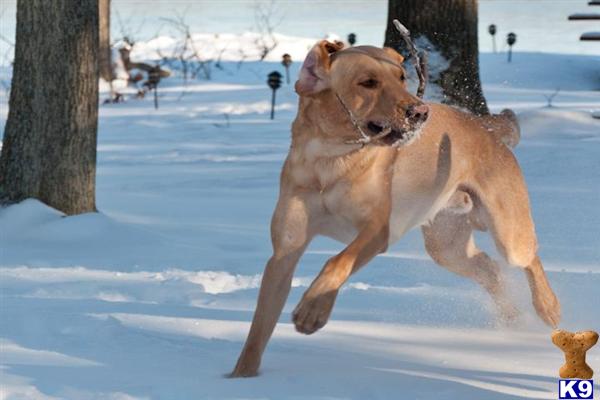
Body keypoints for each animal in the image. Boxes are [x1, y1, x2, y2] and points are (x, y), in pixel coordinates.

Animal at [231, 41, 564, 378]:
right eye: (368, 82)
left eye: (401, 77)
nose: (420, 111)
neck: (331, 159)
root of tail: (483, 125)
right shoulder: (284, 252)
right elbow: (258, 329)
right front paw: (240, 377)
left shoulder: (378, 231)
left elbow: (337, 262)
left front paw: (312, 311)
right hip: (446, 245)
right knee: (489, 269)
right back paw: (511, 320)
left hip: (506, 229)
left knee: (528, 258)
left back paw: (548, 307)